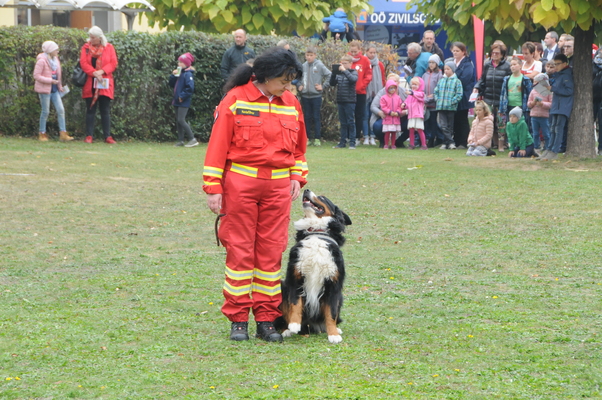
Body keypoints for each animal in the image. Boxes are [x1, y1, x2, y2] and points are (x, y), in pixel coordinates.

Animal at [278, 189, 352, 342]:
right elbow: (295, 303)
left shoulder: (334, 284)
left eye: (322, 197)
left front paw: (333, 334)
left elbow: (331, 312)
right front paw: (294, 324)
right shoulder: (295, 276)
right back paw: (286, 330)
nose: (306, 190)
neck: (316, 233)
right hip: (282, 286)